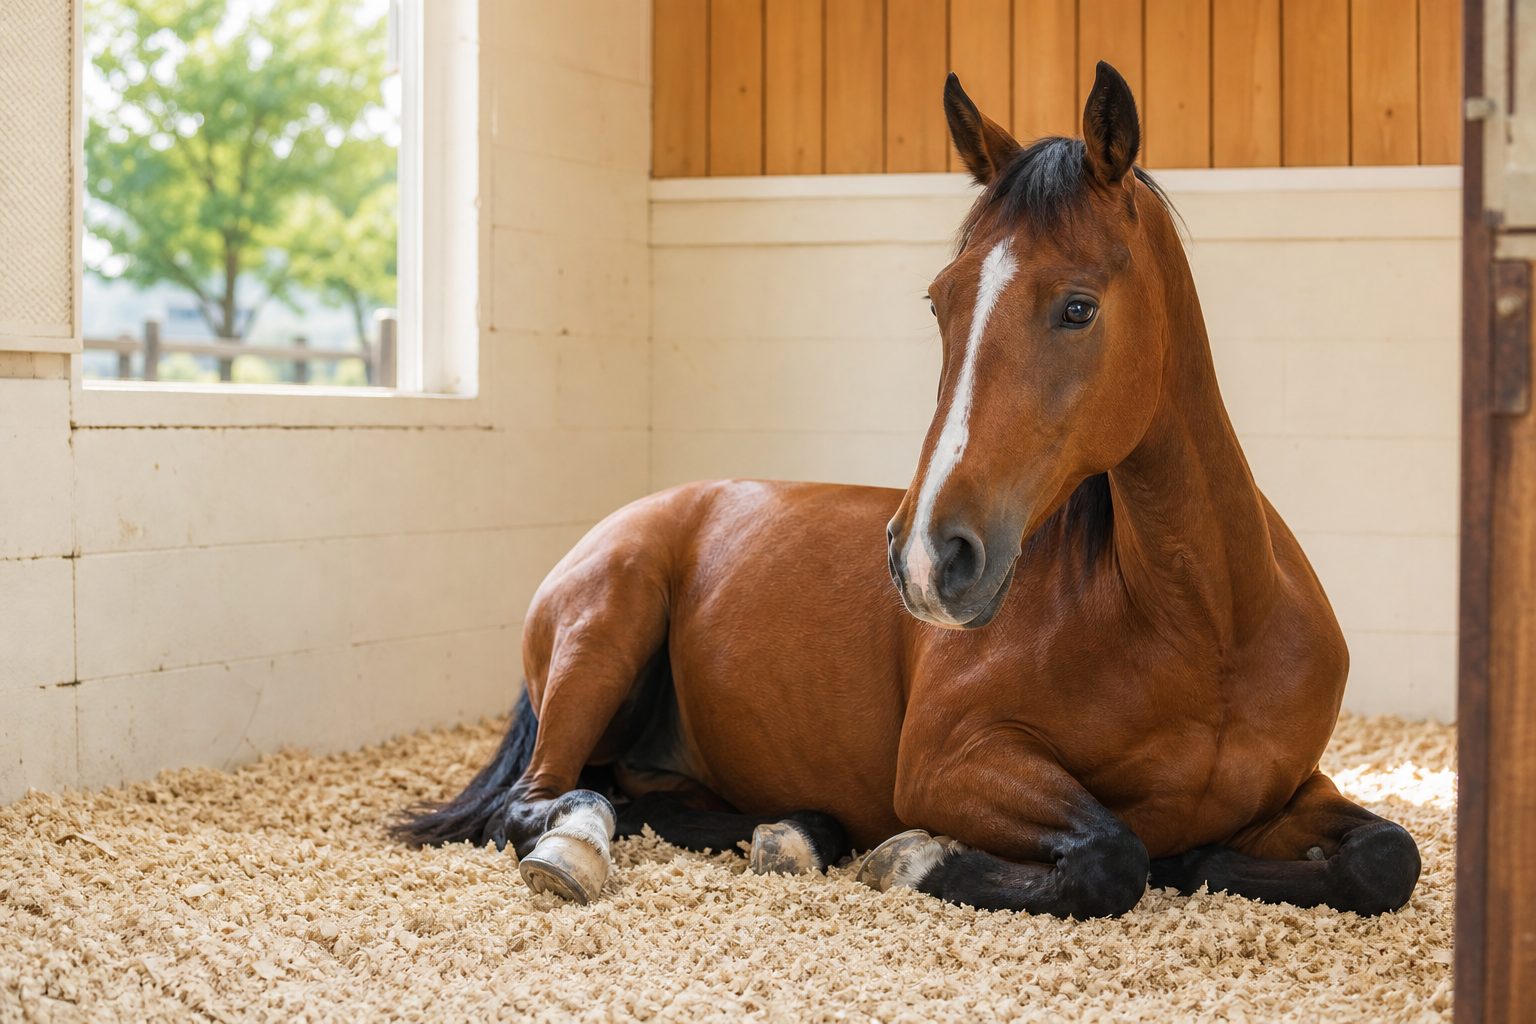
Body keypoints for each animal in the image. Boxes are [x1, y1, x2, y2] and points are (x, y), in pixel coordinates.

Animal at [395, 63, 1421, 919]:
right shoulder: (947, 763)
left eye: (1078, 306)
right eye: (942, 301)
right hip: (609, 622)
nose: (931, 557)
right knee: (540, 802)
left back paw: (797, 831)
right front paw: (915, 858)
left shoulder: (1298, 792)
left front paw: (1209, 859)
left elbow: (1387, 858)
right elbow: (1111, 857)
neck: (1208, 627)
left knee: (642, 796)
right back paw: (596, 850)